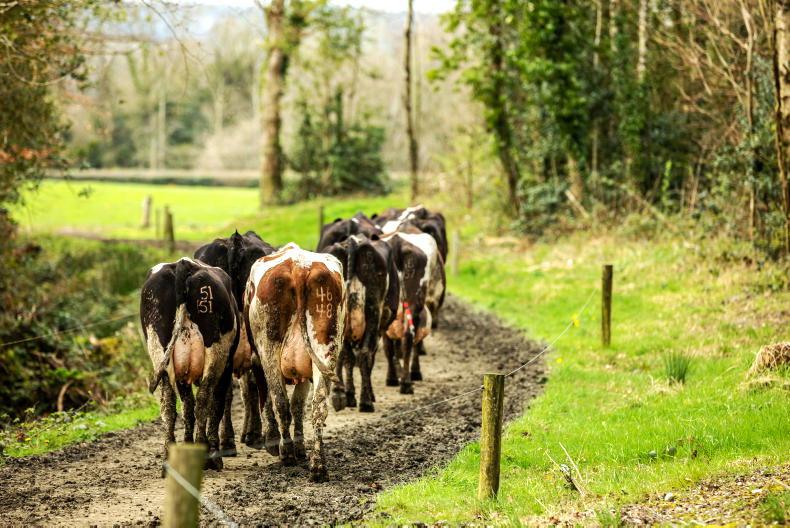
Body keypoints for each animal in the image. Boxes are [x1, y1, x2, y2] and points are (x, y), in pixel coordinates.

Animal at [141, 257, 238, 471]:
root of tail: (183, 264)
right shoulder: (226, 367)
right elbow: (215, 405)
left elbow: (187, 406)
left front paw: (187, 445)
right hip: (216, 351)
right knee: (204, 401)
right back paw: (209, 457)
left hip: (159, 349)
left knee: (168, 405)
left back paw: (169, 459)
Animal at [245, 243, 345, 481]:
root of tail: (299, 266)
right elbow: (298, 405)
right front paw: (300, 448)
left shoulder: (257, 361)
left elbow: (270, 401)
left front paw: (274, 442)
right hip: (325, 348)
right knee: (318, 406)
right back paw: (318, 466)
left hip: (269, 351)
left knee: (280, 402)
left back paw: (287, 453)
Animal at [322, 233, 399, 412]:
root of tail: (353, 241)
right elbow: (369, 358)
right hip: (373, 312)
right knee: (363, 354)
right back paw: (365, 402)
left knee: (345, 354)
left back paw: (340, 395)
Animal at [381, 226, 445, 393]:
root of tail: (397, 243)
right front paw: (415, 371)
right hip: (414, 302)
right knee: (409, 337)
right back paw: (405, 382)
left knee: (391, 342)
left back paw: (394, 379)